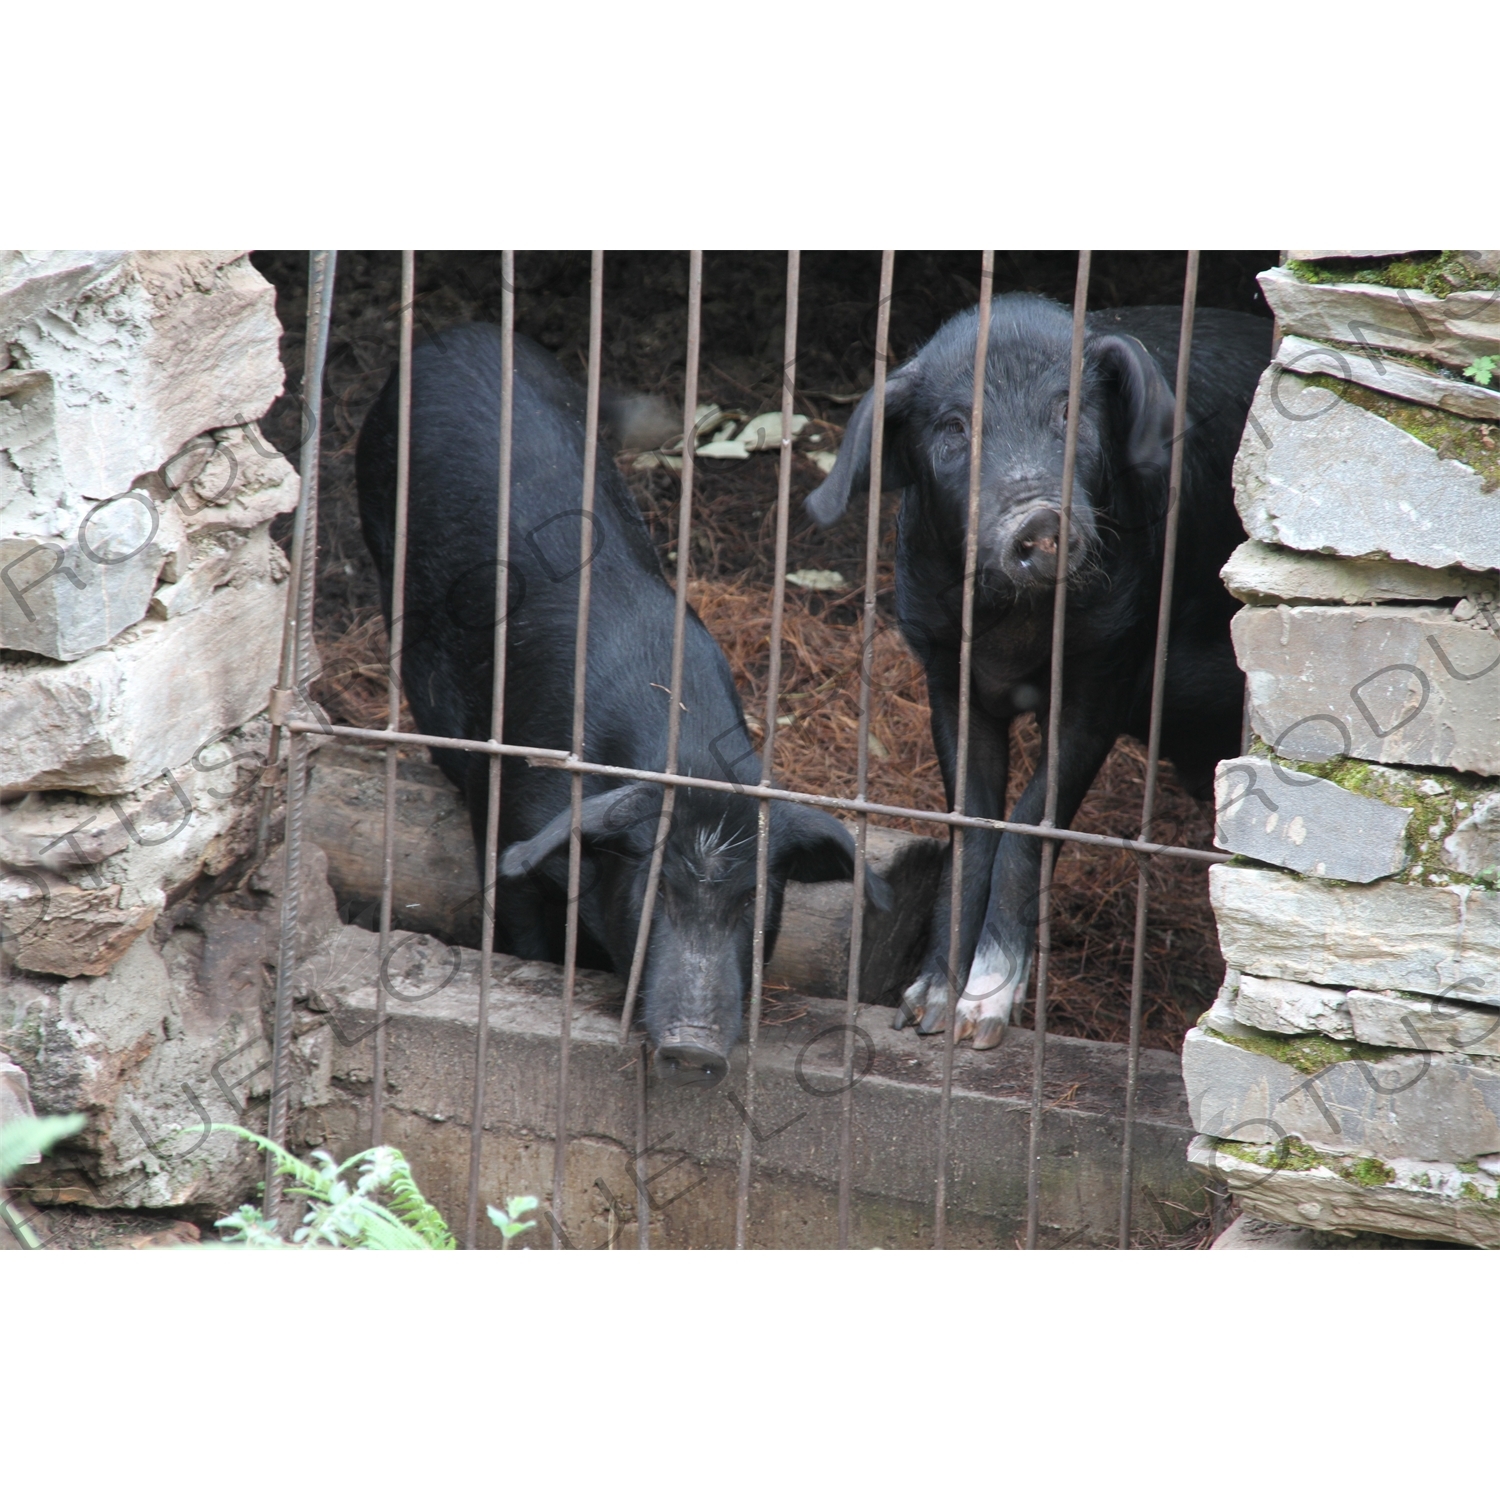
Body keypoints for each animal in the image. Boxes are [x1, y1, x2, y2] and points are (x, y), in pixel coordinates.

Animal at [804, 289, 1272, 1044]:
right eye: (955, 426)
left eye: (1069, 410)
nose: (1039, 517)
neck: (1015, 634)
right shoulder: (947, 674)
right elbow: (970, 827)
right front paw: (925, 1011)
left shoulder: (1108, 672)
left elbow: (1029, 830)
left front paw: (979, 1023)